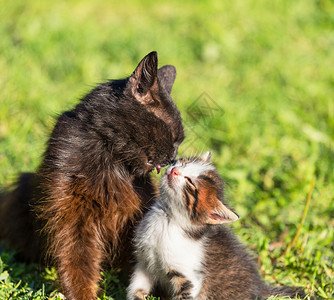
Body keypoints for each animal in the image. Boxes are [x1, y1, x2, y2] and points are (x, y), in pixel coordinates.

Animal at [0, 51, 184, 300]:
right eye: (174, 137)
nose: (174, 157)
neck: (113, 160)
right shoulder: (71, 213)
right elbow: (77, 261)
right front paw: (82, 294)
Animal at [128, 154, 306, 298]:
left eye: (191, 184)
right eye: (183, 162)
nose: (174, 171)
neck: (166, 218)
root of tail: (261, 287)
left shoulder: (190, 279)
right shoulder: (144, 263)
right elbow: (136, 290)